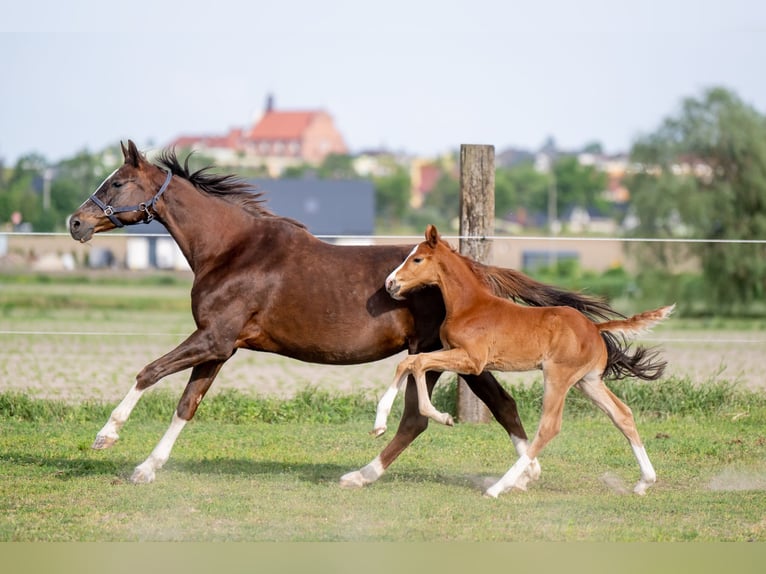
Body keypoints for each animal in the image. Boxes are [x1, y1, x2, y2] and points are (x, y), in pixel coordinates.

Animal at [70, 140, 624, 486]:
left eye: (116, 183)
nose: (77, 222)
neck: (234, 250)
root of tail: (472, 270)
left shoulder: (214, 338)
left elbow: (148, 372)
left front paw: (105, 437)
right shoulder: (221, 347)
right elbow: (187, 404)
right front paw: (147, 468)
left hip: (436, 354)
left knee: (421, 418)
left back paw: (366, 474)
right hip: (453, 357)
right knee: (497, 406)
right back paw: (521, 472)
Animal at [376, 225, 672, 500]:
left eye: (417, 259)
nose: (390, 283)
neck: (470, 306)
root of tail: (595, 328)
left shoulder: (472, 360)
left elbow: (416, 363)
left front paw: (441, 417)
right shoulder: (453, 354)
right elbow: (411, 362)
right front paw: (381, 424)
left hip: (558, 377)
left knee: (549, 427)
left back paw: (498, 487)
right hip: (588, 382)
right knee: (622, 414)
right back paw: (644, 482)